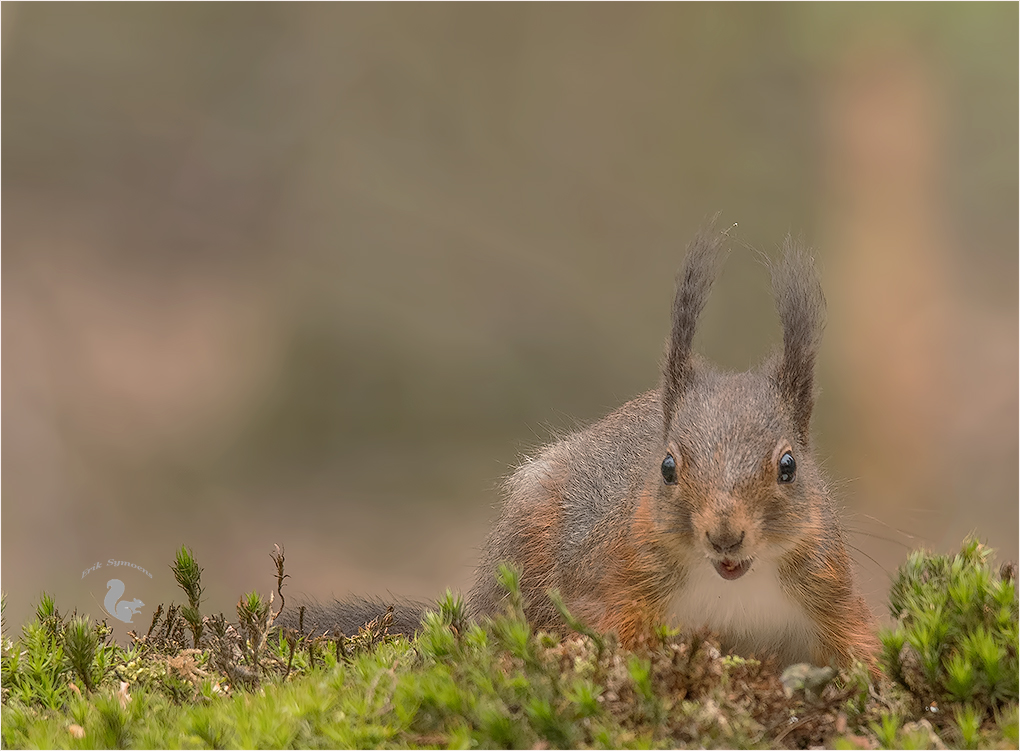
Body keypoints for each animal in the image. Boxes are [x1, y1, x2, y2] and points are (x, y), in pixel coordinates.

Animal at [293, 227, 877, 669]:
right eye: (667, 467)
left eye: (789, 466)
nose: (725, 536)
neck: (734, 580)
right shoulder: (614, 581)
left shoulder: (826, 587)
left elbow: (858, 645)